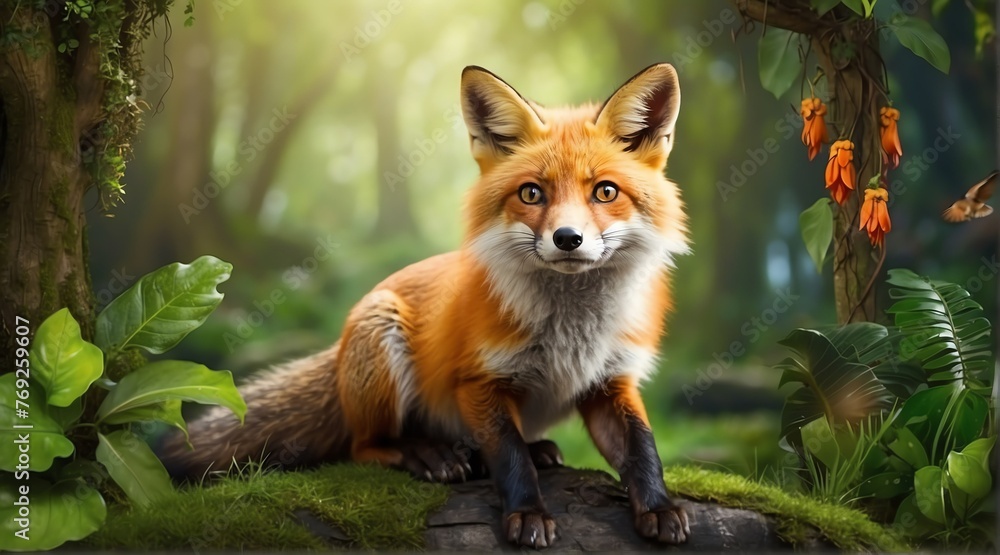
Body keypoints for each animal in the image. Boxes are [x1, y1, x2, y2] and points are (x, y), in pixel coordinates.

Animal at [159, 63, 691, 548]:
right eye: (531, 193)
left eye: (605, 191)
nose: (567, 238)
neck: (573, 332)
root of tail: (338, 351)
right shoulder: (478, 381)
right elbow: (509, 456)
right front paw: (527, 513)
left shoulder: (612, 380)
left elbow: (642, 446)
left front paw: (658, 506)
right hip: (381, 338)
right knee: (363, 446)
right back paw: (425, 453)